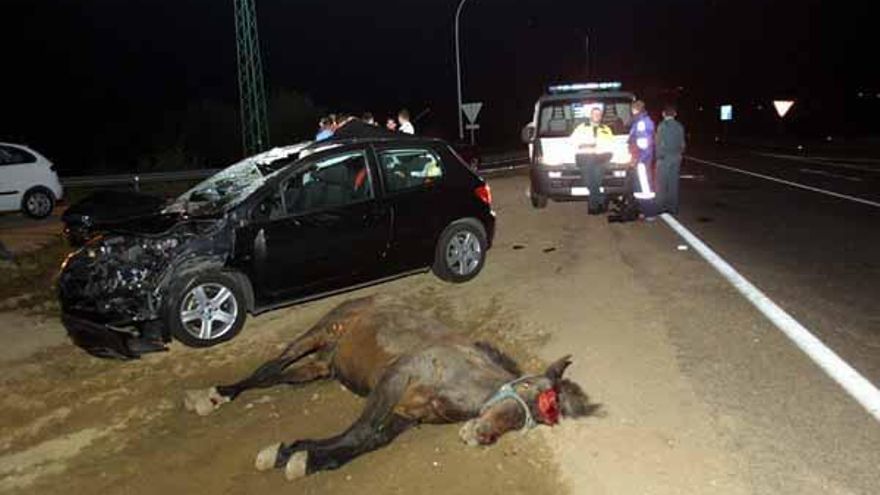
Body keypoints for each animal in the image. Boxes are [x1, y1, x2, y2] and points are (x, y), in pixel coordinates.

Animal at [184, 296, 600, 482]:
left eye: (532, 422)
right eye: (526, 386)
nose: (481, 435)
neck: (458, 374)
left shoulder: (407, 415)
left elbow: (366, 440)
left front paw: (301, 454)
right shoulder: (395, 379)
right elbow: (363, 430)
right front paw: (292, 454)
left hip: (320, 367)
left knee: (277, 376)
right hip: (315, 334)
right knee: (268, 367)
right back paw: (211, 395)